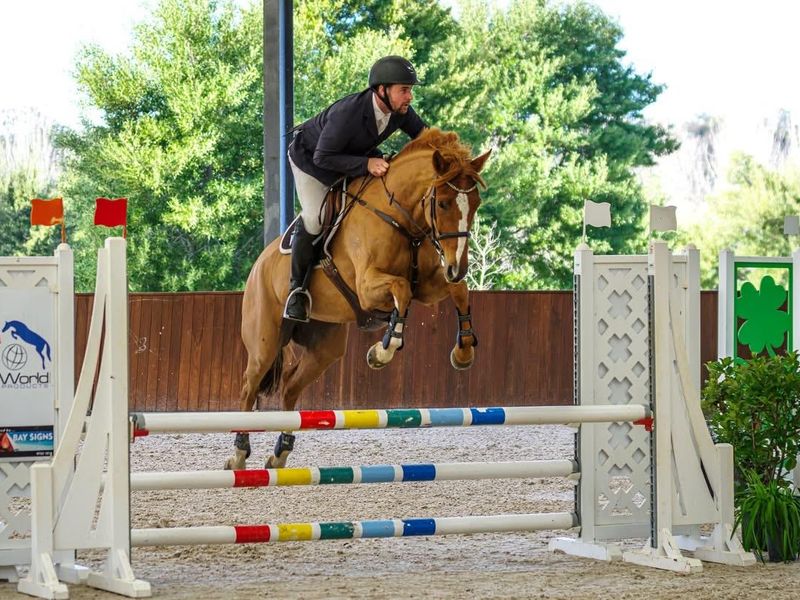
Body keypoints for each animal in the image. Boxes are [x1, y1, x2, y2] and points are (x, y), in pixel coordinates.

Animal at [225, 128, 491, 470]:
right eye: (443, 203)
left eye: (475, 203)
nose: (458, 267)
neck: (400, 218)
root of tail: (258, 265)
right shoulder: (367, 287)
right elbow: (401, 290)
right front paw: (383, 350)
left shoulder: (429, 286)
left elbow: (457, 291)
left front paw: (464, 351)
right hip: (265, 342)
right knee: (249, 386)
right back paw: (238, 454)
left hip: (325, 347)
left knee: (290, 385)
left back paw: (280, 452)